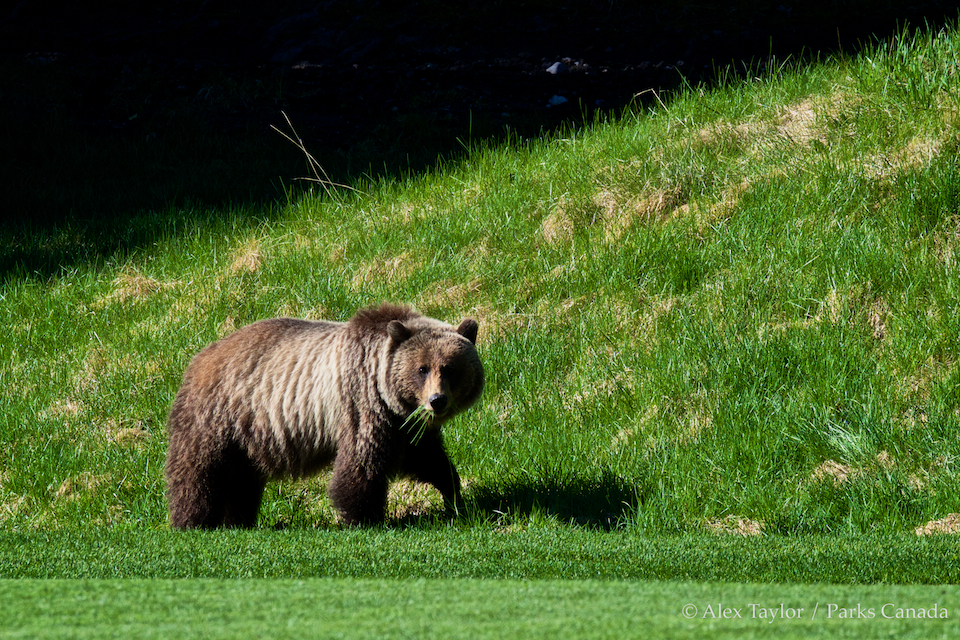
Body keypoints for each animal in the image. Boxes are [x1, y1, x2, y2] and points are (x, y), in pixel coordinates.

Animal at [164, 303, 484, 529]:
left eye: (450, 368)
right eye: (422, 369)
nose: (437, 400)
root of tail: (199, 357)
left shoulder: (407, 428)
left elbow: (431, 461)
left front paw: (455, 498)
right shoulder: (363, 405)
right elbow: (361, 464)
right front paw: (363, 517)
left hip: (248, 435)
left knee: (241, 481)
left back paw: (238, 521)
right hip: (218, 417)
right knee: (199, 471)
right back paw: (192, 522)